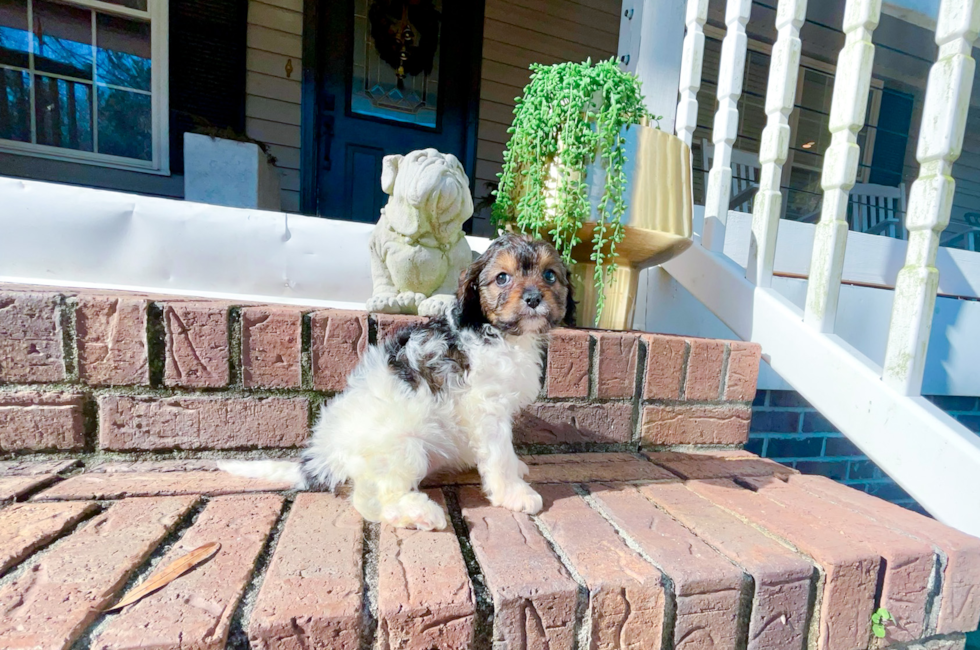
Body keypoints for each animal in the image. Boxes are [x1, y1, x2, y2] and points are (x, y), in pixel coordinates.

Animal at [222, 233, 576, 528]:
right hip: (404, 448)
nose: (533, 298)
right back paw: (418, 513)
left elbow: (506, 451)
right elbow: (499, 453)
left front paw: (517, 468)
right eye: (502, 277)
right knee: (369, 499)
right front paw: (515, 492)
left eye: (549, 275)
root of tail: (325, 457)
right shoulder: (486, 407)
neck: (499, 333)